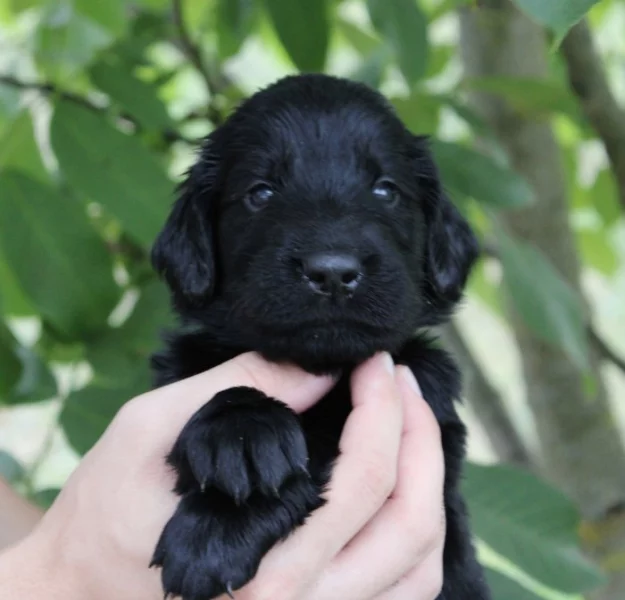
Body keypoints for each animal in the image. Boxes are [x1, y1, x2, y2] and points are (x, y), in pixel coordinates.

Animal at [149, 75, 490, 600]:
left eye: (385, 189)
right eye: (261, 192)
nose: (332, 273)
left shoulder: (423, 389)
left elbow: (321, 434)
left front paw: (213, 529)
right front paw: (241, 431)